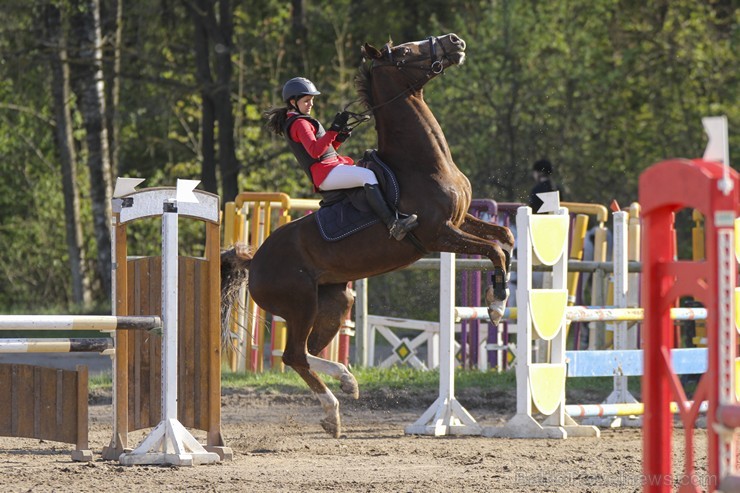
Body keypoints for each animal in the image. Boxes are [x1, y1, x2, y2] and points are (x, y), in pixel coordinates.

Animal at [243, 32, 516, 436]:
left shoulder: (462, 220)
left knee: (305, 352)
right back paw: (333, 412)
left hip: (335, 302)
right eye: (403, 51)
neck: (422, 163)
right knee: (294, 355)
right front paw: (496, 306)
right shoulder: (439, 234)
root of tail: (254, 262)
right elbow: (494, 249)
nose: (454, 40)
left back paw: (346, 381)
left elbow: (505, 240)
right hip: (301, 304)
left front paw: (501, 295)